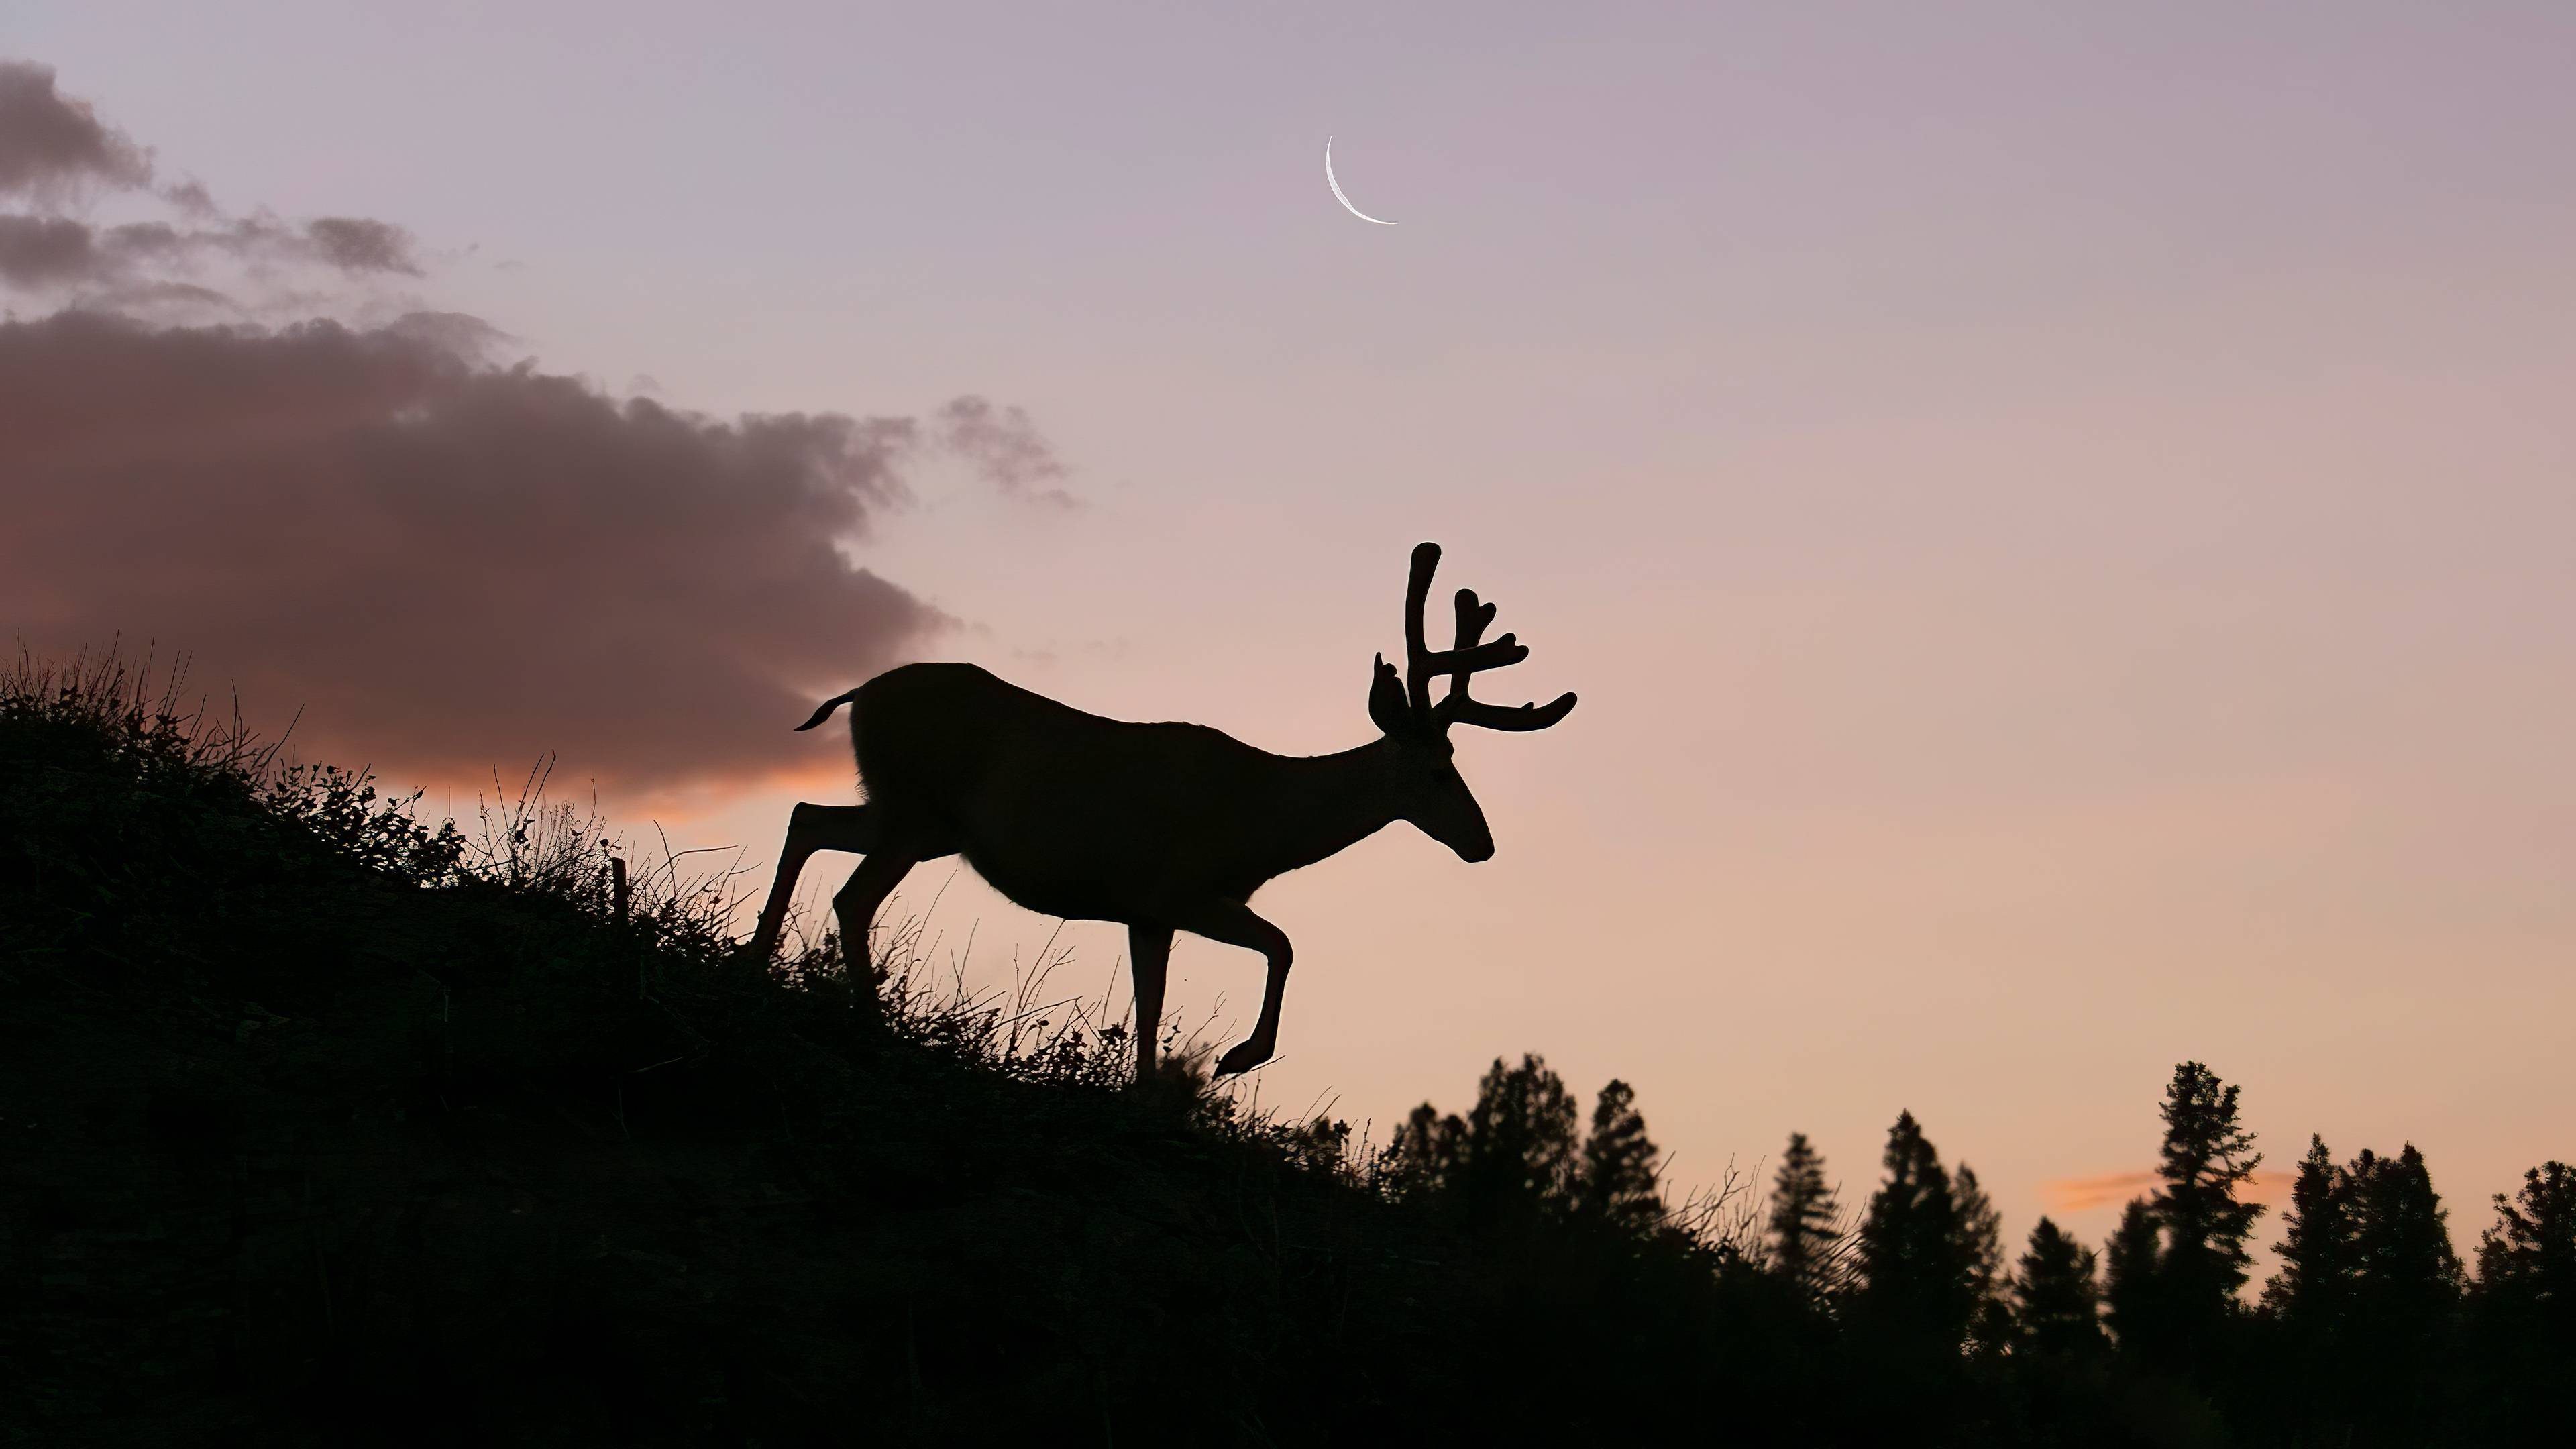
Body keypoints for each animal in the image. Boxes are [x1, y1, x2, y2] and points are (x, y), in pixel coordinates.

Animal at [743, 541, 1577, 1080]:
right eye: (1437, 771)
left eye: (1457, 760)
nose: (1483, 844)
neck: (1264, 824)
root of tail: (858, 693)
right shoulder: (1180, 889)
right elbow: (1282, 946)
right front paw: (1237, 1058)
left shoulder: (1149, 912)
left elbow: (1151, 1006)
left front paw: (1145, 1091)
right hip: (915, 811)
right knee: (852, 896)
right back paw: (868, 1015)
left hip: (910, 818)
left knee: (806, 816)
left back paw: (756, 960)